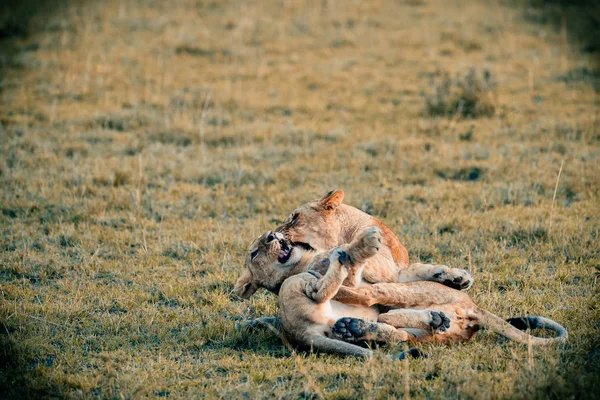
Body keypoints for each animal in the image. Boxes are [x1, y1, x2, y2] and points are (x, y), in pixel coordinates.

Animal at [233, 191, 474, 300]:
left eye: (294, 218)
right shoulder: (382, 270)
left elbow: (417, 269)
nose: (271, 234)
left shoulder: (392, 270)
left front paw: (456, 278)